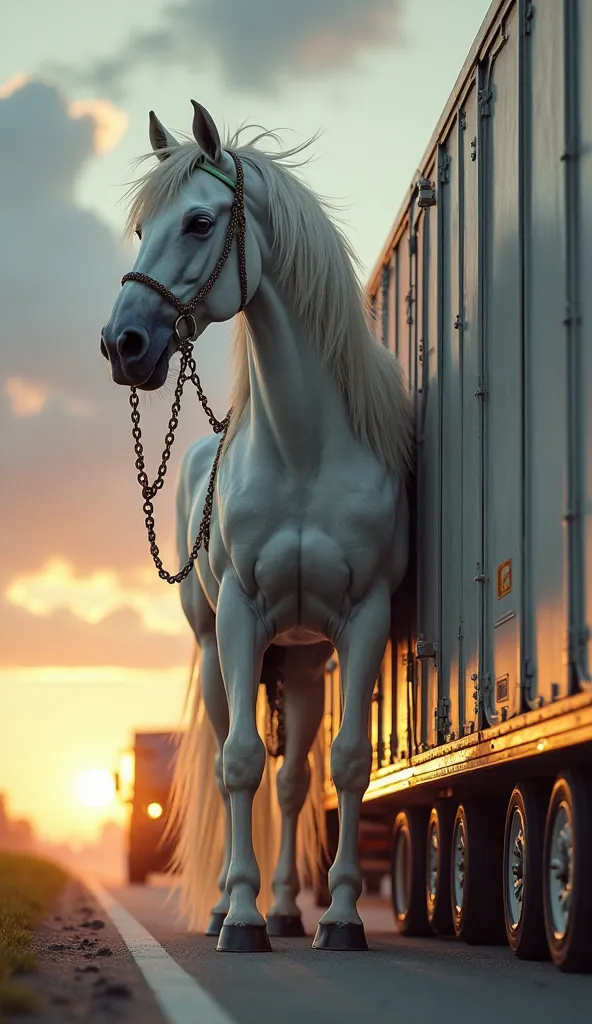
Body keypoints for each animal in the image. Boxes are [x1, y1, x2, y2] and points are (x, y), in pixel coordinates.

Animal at [101, 103, 409, 950]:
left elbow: (344, 765)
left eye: (201, 221)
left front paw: (340, 919)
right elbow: (239, 763)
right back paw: (227, 908)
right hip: (215, 650)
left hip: (299, 664)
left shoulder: (364, 618)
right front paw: (237, 920)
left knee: (295, 778)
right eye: (141, 227)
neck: (303, 449)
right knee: (225, 763)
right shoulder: (240, 615)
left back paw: (286, 907)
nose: (122, 345)